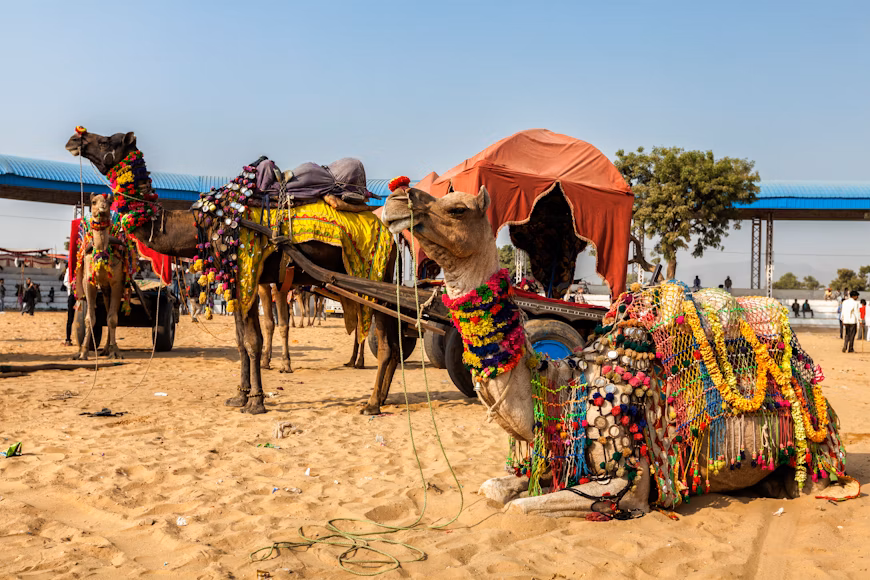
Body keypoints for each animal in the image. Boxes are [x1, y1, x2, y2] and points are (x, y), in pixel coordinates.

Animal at [73, 193, 130, 360]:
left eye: (109, 202)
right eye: (93, 202)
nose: (102, 210)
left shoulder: (117, 283)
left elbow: (112, 319)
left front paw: (115, 351)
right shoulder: (89, 283)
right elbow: (89, 319)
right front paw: (83, 351)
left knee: (110, 314)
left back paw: (108, 348)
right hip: (104, 289)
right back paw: (104, 349)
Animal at [382, 185, 847, 517]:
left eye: (457, 209)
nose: (396, 197)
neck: (563, 387)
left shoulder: (630, 480)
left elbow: (520, 508)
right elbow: (495, 489)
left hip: (812, 442)